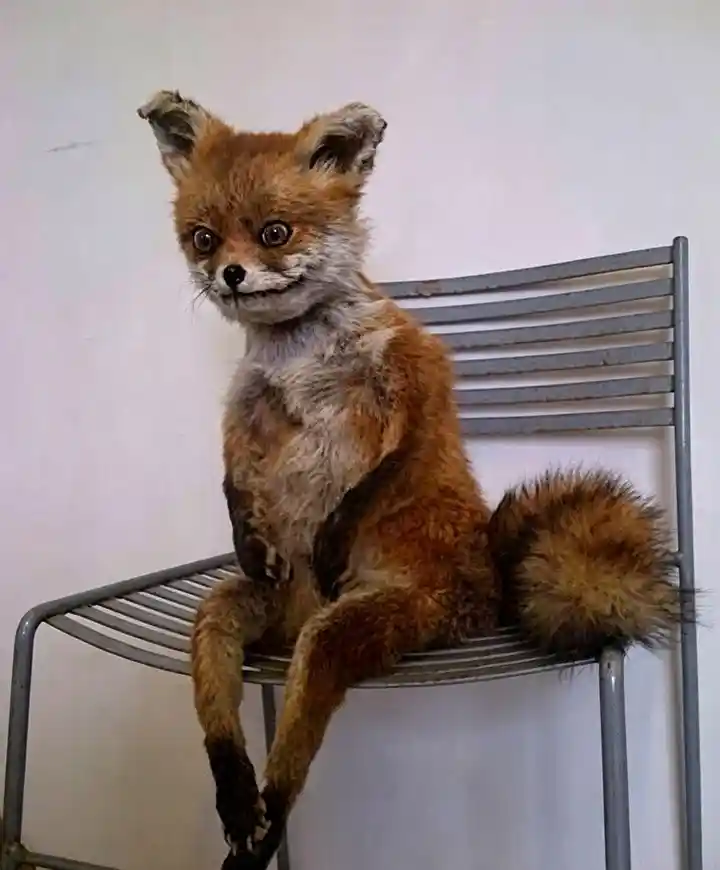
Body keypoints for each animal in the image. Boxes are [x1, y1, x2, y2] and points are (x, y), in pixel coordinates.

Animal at [137, 89, 692, 870]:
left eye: (274, 233)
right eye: (205, 239)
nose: (231, 276)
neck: (300, 360)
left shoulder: (416, 381)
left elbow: (387, 470)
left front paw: (337, 527)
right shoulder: (245, 410)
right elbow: (233, 476)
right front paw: (246, 528)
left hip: (355, 627)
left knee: (299, 735)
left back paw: (268, 814)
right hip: (229, 613)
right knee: (221, 707)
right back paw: (239, 804)